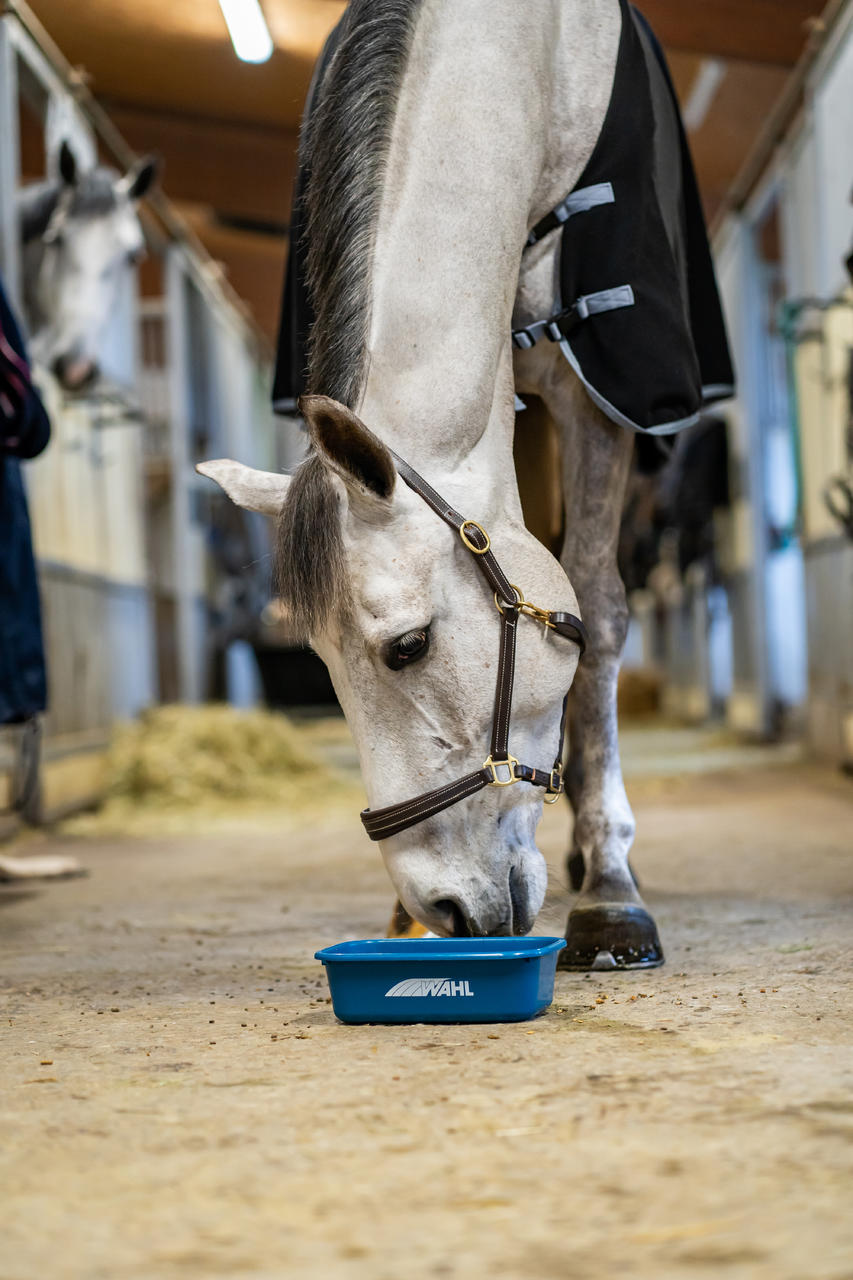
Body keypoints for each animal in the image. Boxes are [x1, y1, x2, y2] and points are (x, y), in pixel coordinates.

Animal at [197, 0, 732, 962]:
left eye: (407, 646)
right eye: (317, 660)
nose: (441, 908)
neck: (528, 61)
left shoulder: (595, 384)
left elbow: (599, 607)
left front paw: (612, 888)